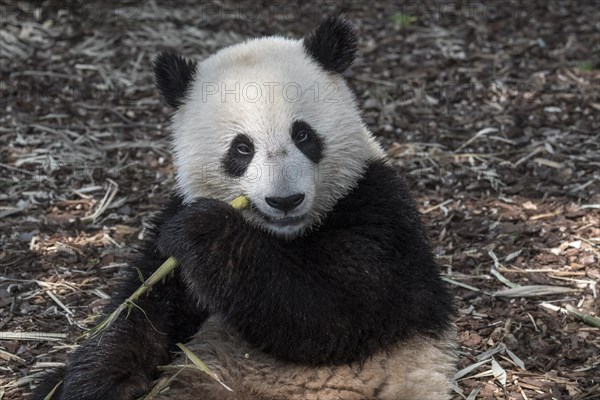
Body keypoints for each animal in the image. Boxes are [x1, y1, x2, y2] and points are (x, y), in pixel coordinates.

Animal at [34, 13, 454, 400]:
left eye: (303, 135)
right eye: (241, 148)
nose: (285, 200)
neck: (283, 235)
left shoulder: (378, 210)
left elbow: (333, 313)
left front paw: (205, 230)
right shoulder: (170, 223)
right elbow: (143, 308)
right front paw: (99, 382)